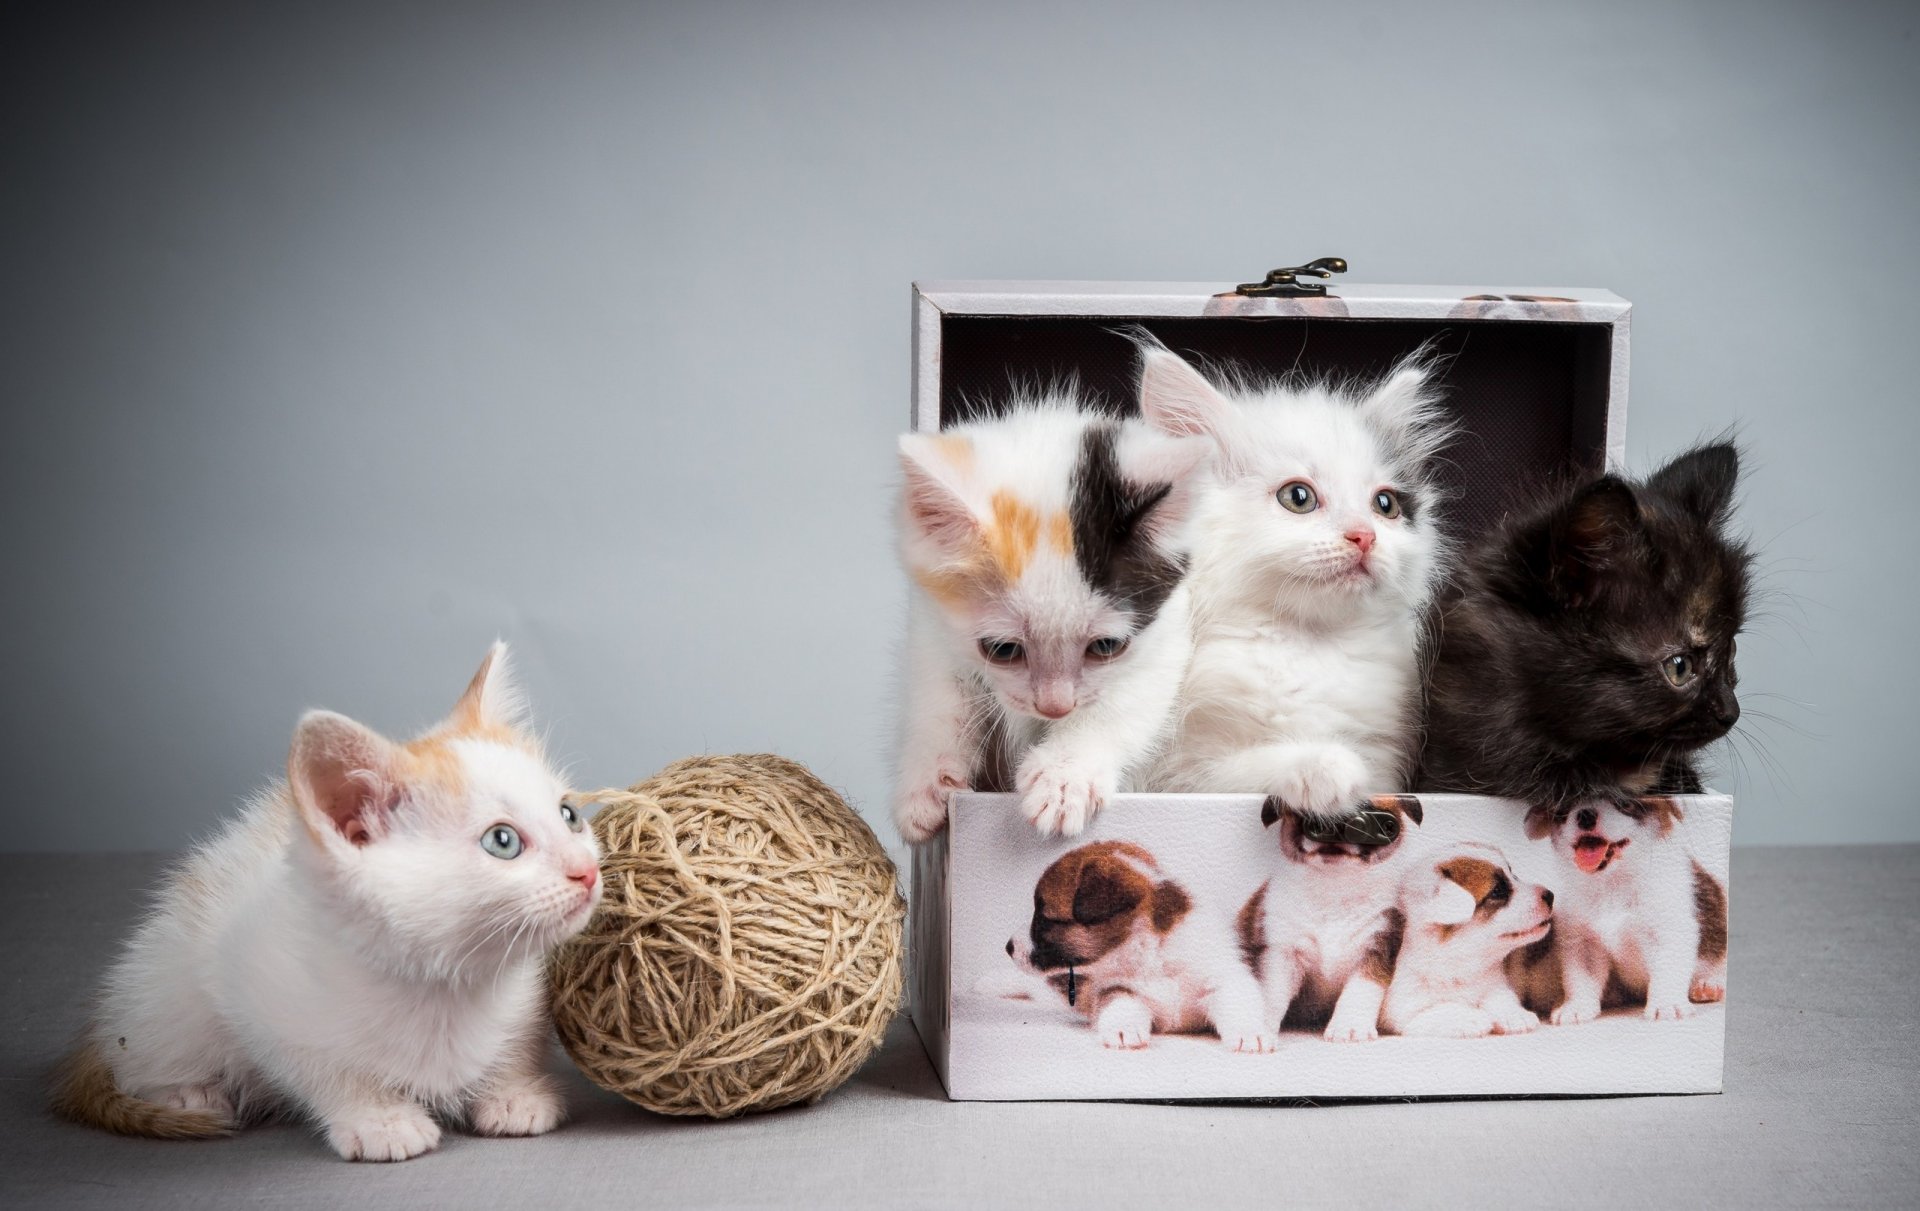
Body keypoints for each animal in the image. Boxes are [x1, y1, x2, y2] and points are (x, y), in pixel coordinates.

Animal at [54, 644, 599, 1166]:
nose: (588, 871)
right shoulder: (255, 979)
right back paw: (188, 1092)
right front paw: (379, 1120)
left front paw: (514, 1093)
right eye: (502, 841)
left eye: (569, 815)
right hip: (160, 982)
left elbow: (518, 1039)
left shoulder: (526, 993)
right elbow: (320, 1065)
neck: (443, 988)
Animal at [894, 397, 1198, 844]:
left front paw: (1065, 776)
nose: (1055, 707)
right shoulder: (930, 622)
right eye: (1003, 650)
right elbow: (938, 695)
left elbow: (1129, 699)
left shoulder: (1167, 634)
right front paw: (925, 780)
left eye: (1106, 646)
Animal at [1128, 335, 1443, 821]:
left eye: (1385, 505)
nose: (1365, 536)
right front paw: (1326, 767)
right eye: (1298, 497)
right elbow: (1231, 772)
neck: (1306, 643)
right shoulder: (1171, 776)